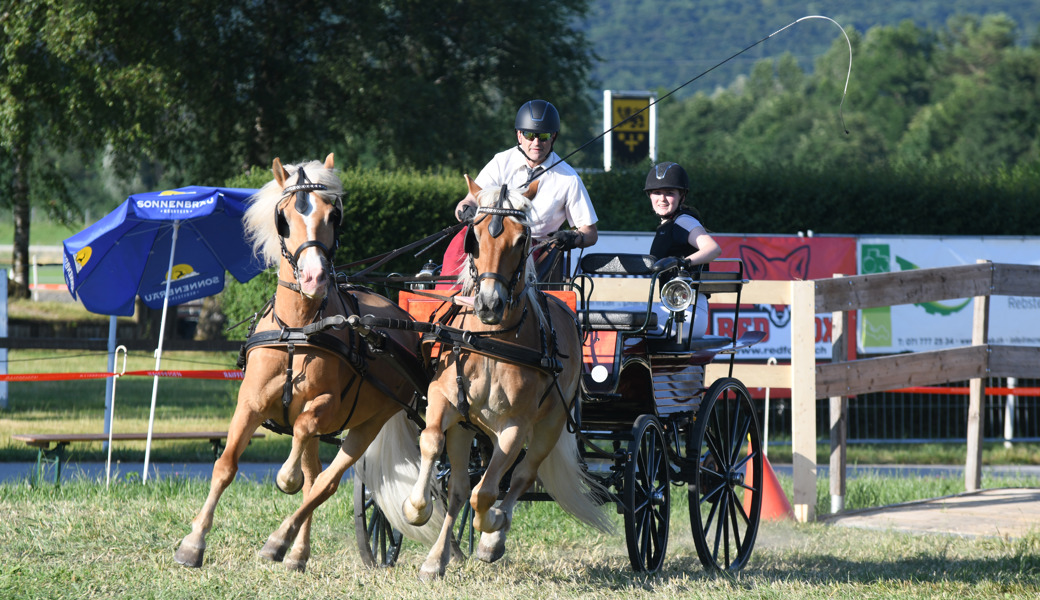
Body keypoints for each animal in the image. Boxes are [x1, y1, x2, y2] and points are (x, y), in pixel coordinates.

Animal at [174, 152, 443, 569]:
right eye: (283, 217)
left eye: (334, 215)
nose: (315, 276)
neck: (296, 329)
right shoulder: (249, 403)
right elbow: (226, 465)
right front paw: (193, 542)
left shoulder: (325, 406)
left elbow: (301, 440)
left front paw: (286, 477)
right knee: (316, 476)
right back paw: (296, 551)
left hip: (371, 421)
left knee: (326, 481)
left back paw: (279, 540)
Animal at [397, 175, 607, 578]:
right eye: (474, 235)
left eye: (522, 238)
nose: (489, 304)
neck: (489, 342)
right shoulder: (443, 402)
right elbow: (431, 444)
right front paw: (415, 508)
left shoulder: (515, 427)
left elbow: (489, 492)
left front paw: (491, 529)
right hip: (466, 428)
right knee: (459, 488)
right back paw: (436, 558)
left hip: (549, 424)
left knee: (521, 476)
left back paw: (492, 538)